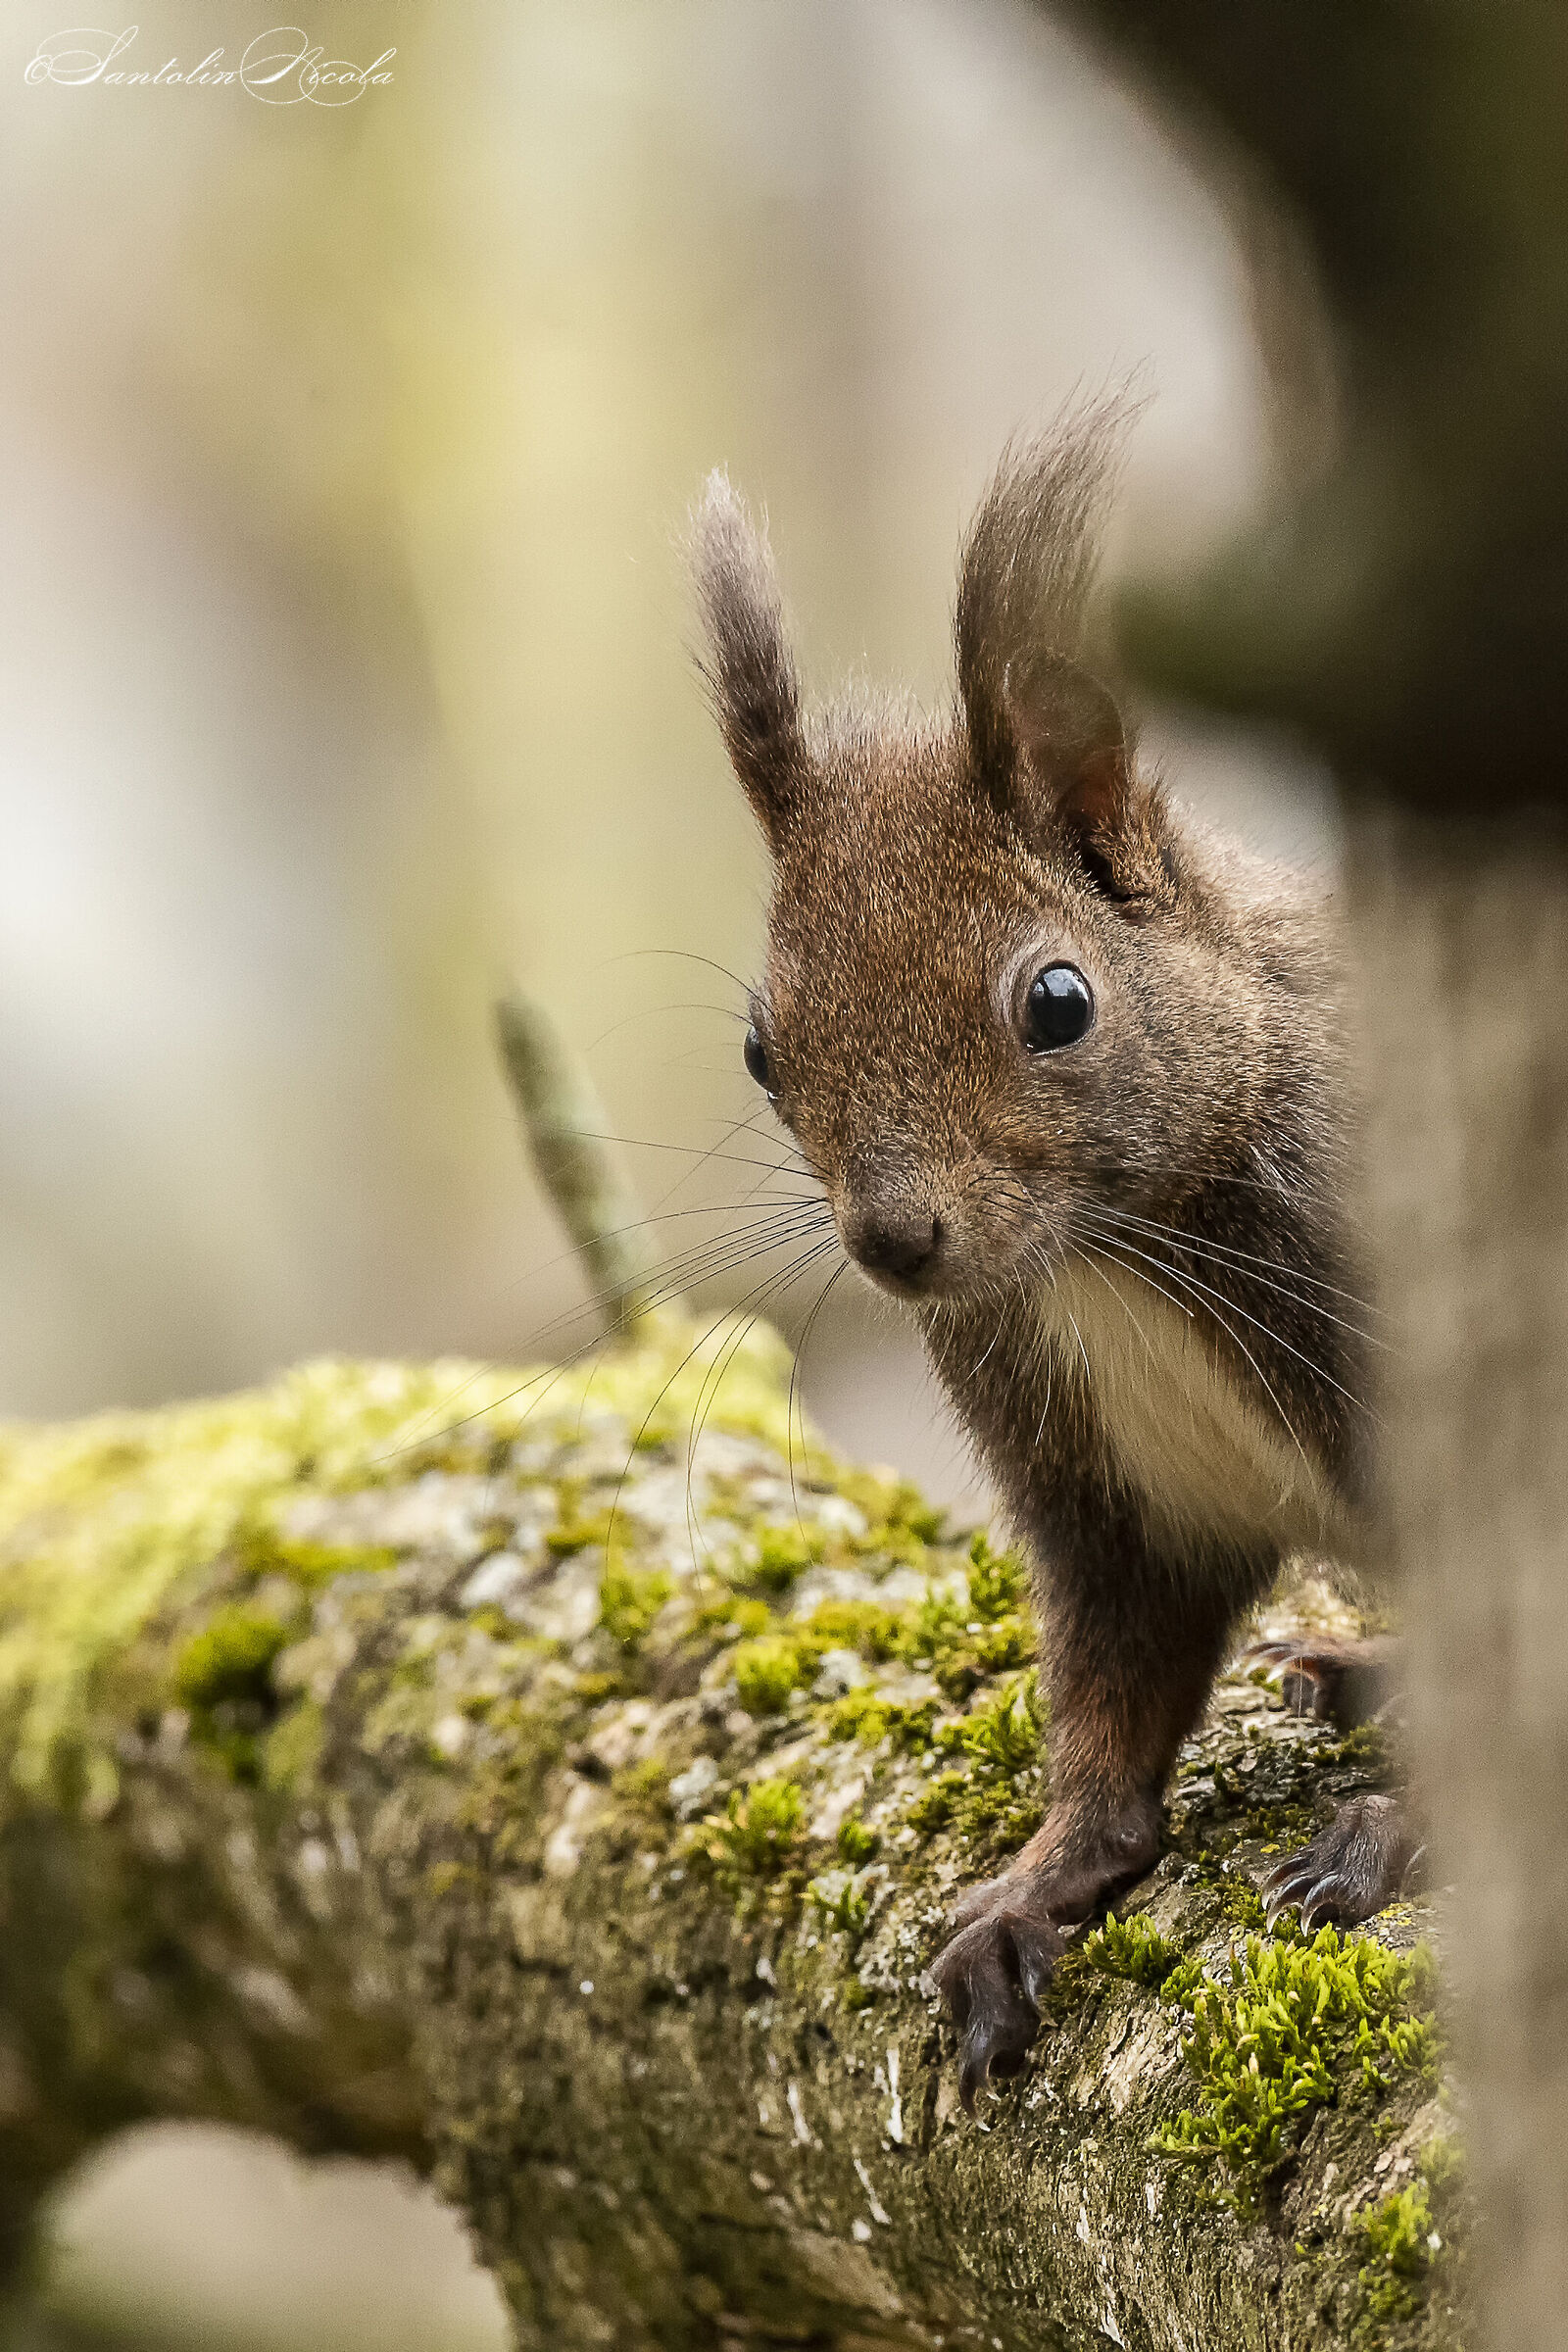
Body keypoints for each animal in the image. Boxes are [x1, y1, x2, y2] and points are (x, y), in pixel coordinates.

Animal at [691, 393, 1416, 2107]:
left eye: (1059, 1003)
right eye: (761, 1049)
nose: (895, 1241)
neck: (1112, 1261)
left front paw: (1386, 1838)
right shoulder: (1098, 1502)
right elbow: (1108, 1706)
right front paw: (1035, 1887)